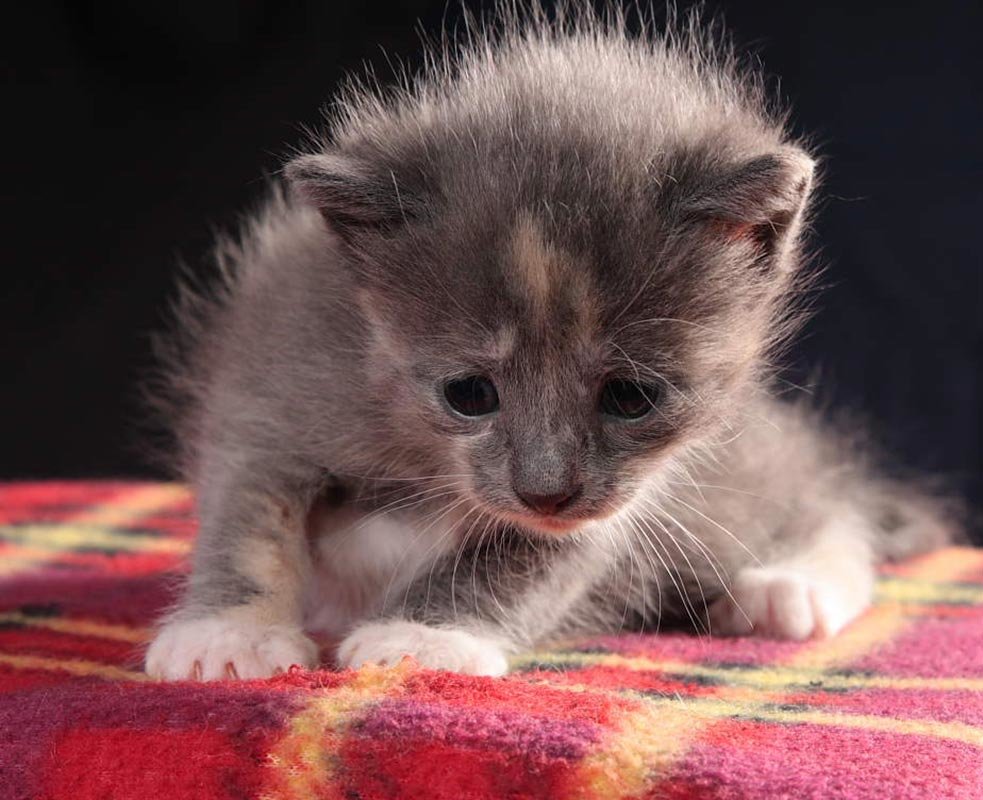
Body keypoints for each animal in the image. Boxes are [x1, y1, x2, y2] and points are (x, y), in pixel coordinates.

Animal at [144, 6, 952, 680]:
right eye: (468, 393)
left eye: (631, 396)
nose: (545, 490)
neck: (416, 451)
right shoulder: (270, 372)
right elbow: (248, 516)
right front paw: (228, 635)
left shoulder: (624, 499)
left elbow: (520, 559)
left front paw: (424, 637)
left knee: (826, 495)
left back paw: (793, 585)